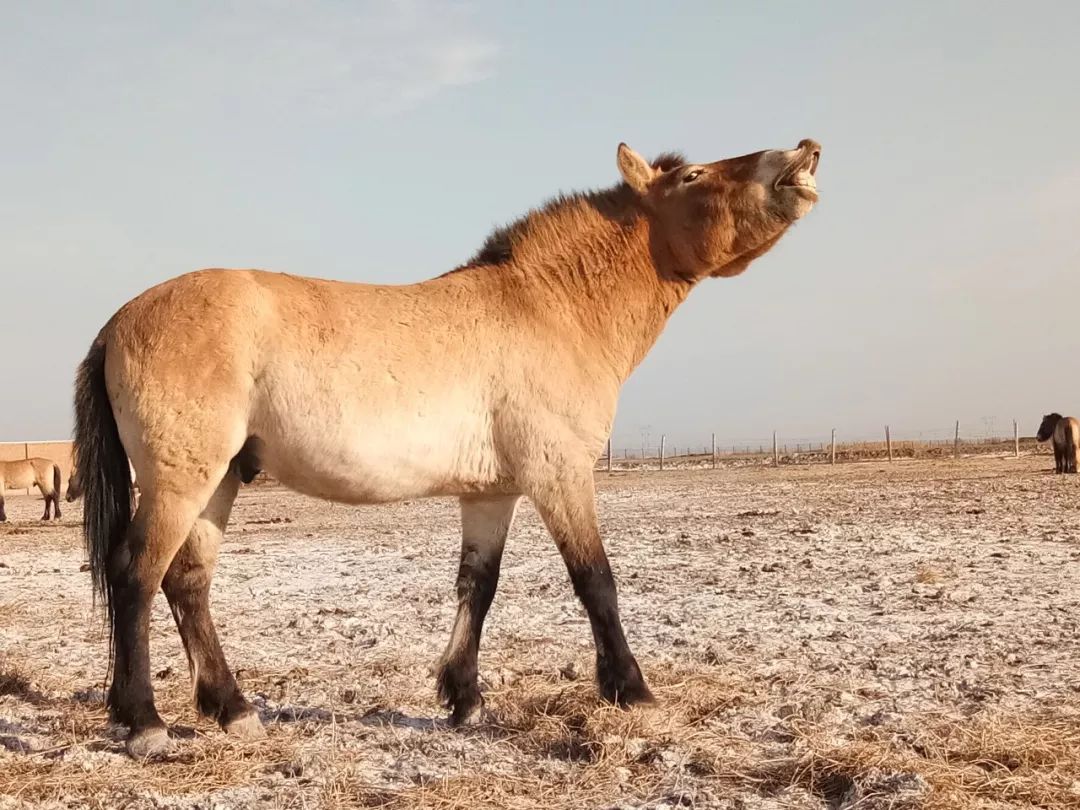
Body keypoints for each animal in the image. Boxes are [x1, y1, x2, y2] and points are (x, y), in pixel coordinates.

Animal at [71, 139, 820, 760]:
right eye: (694, 175)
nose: (802, 153)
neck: (548, 308)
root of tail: (117, 322)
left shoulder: (492, 493)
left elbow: (476, 587)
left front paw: (464, 700)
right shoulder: (560, 475)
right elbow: (595, 580)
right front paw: (631, 690)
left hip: (221, 480)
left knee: (187, 583)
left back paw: (232, 709)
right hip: (181, 480)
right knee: (137, 575)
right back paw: (144, 725)